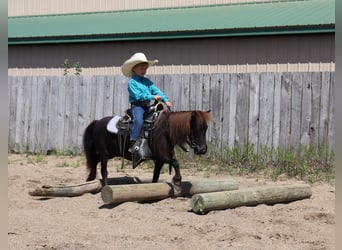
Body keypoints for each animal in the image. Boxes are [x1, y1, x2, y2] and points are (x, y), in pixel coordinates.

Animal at [83, 107, 211, 186]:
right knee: (103, 170)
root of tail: (97, 122)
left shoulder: (160, 160)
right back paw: (105, 186)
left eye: (205, 128)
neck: (164, 130)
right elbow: (175, 163)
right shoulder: (162, 156)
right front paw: (177, 180)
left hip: (110, 153)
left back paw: (89, 179)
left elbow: (156, 176)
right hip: (104, 153)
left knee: (94, 163)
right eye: (196, 128)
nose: (203, 149)